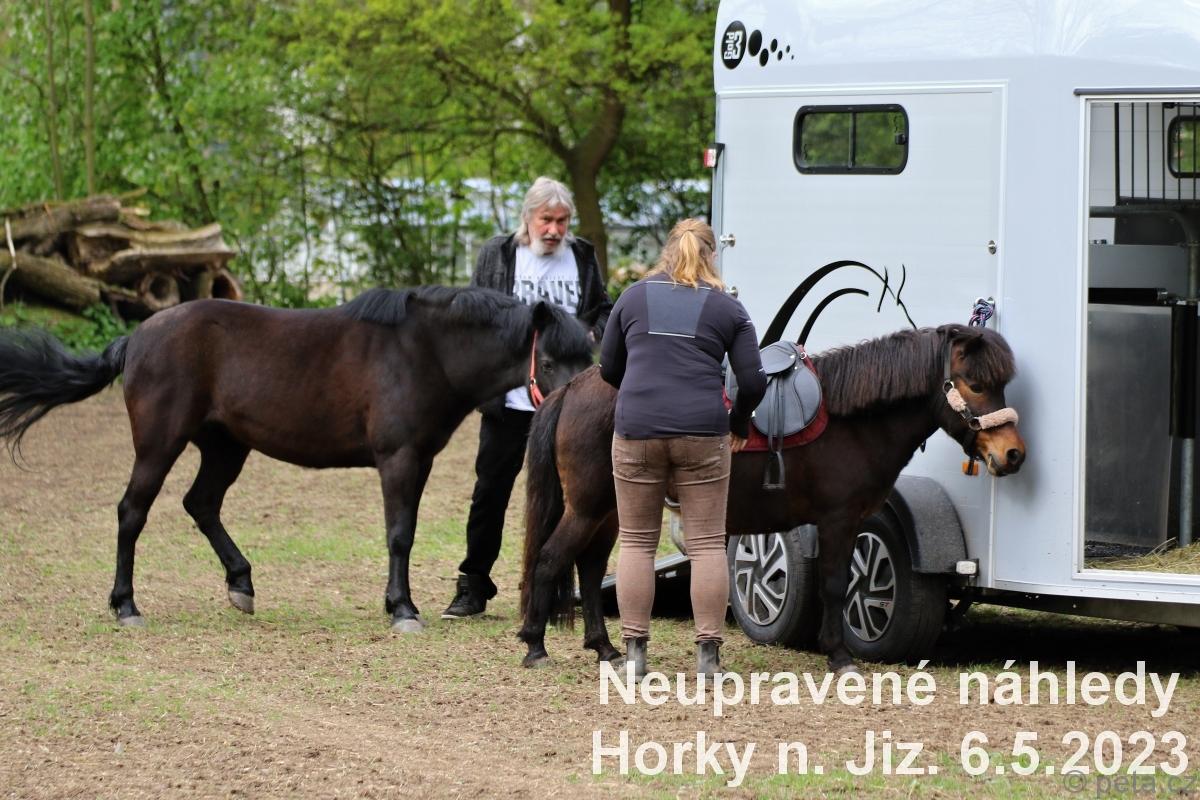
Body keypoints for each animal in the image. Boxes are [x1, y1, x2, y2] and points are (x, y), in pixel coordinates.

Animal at [0, 286, 594, 632]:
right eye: (551, 358)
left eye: (587, 353)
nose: (578, 403)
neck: (423, 351)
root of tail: (138, 336)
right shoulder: (399, 459)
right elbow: (400, 534)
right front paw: (402, 609)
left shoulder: (419, 459)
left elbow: (404, 532)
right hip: (159, 444)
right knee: (133, 512)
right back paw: (126, 605)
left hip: (225, 446)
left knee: (201, 504)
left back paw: (241, 584)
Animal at [518, 323, 1026, 672]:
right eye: (975, 383)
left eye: (1001, 384)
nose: (1013, 453)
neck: (852, 421)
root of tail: (573, 388)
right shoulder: (839, 520)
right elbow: (837, 584)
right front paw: (839, 656)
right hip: (587, 508)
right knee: (549, 560)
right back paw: (535, 645)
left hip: (608, 511)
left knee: (588, 567)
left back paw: (604, 648)